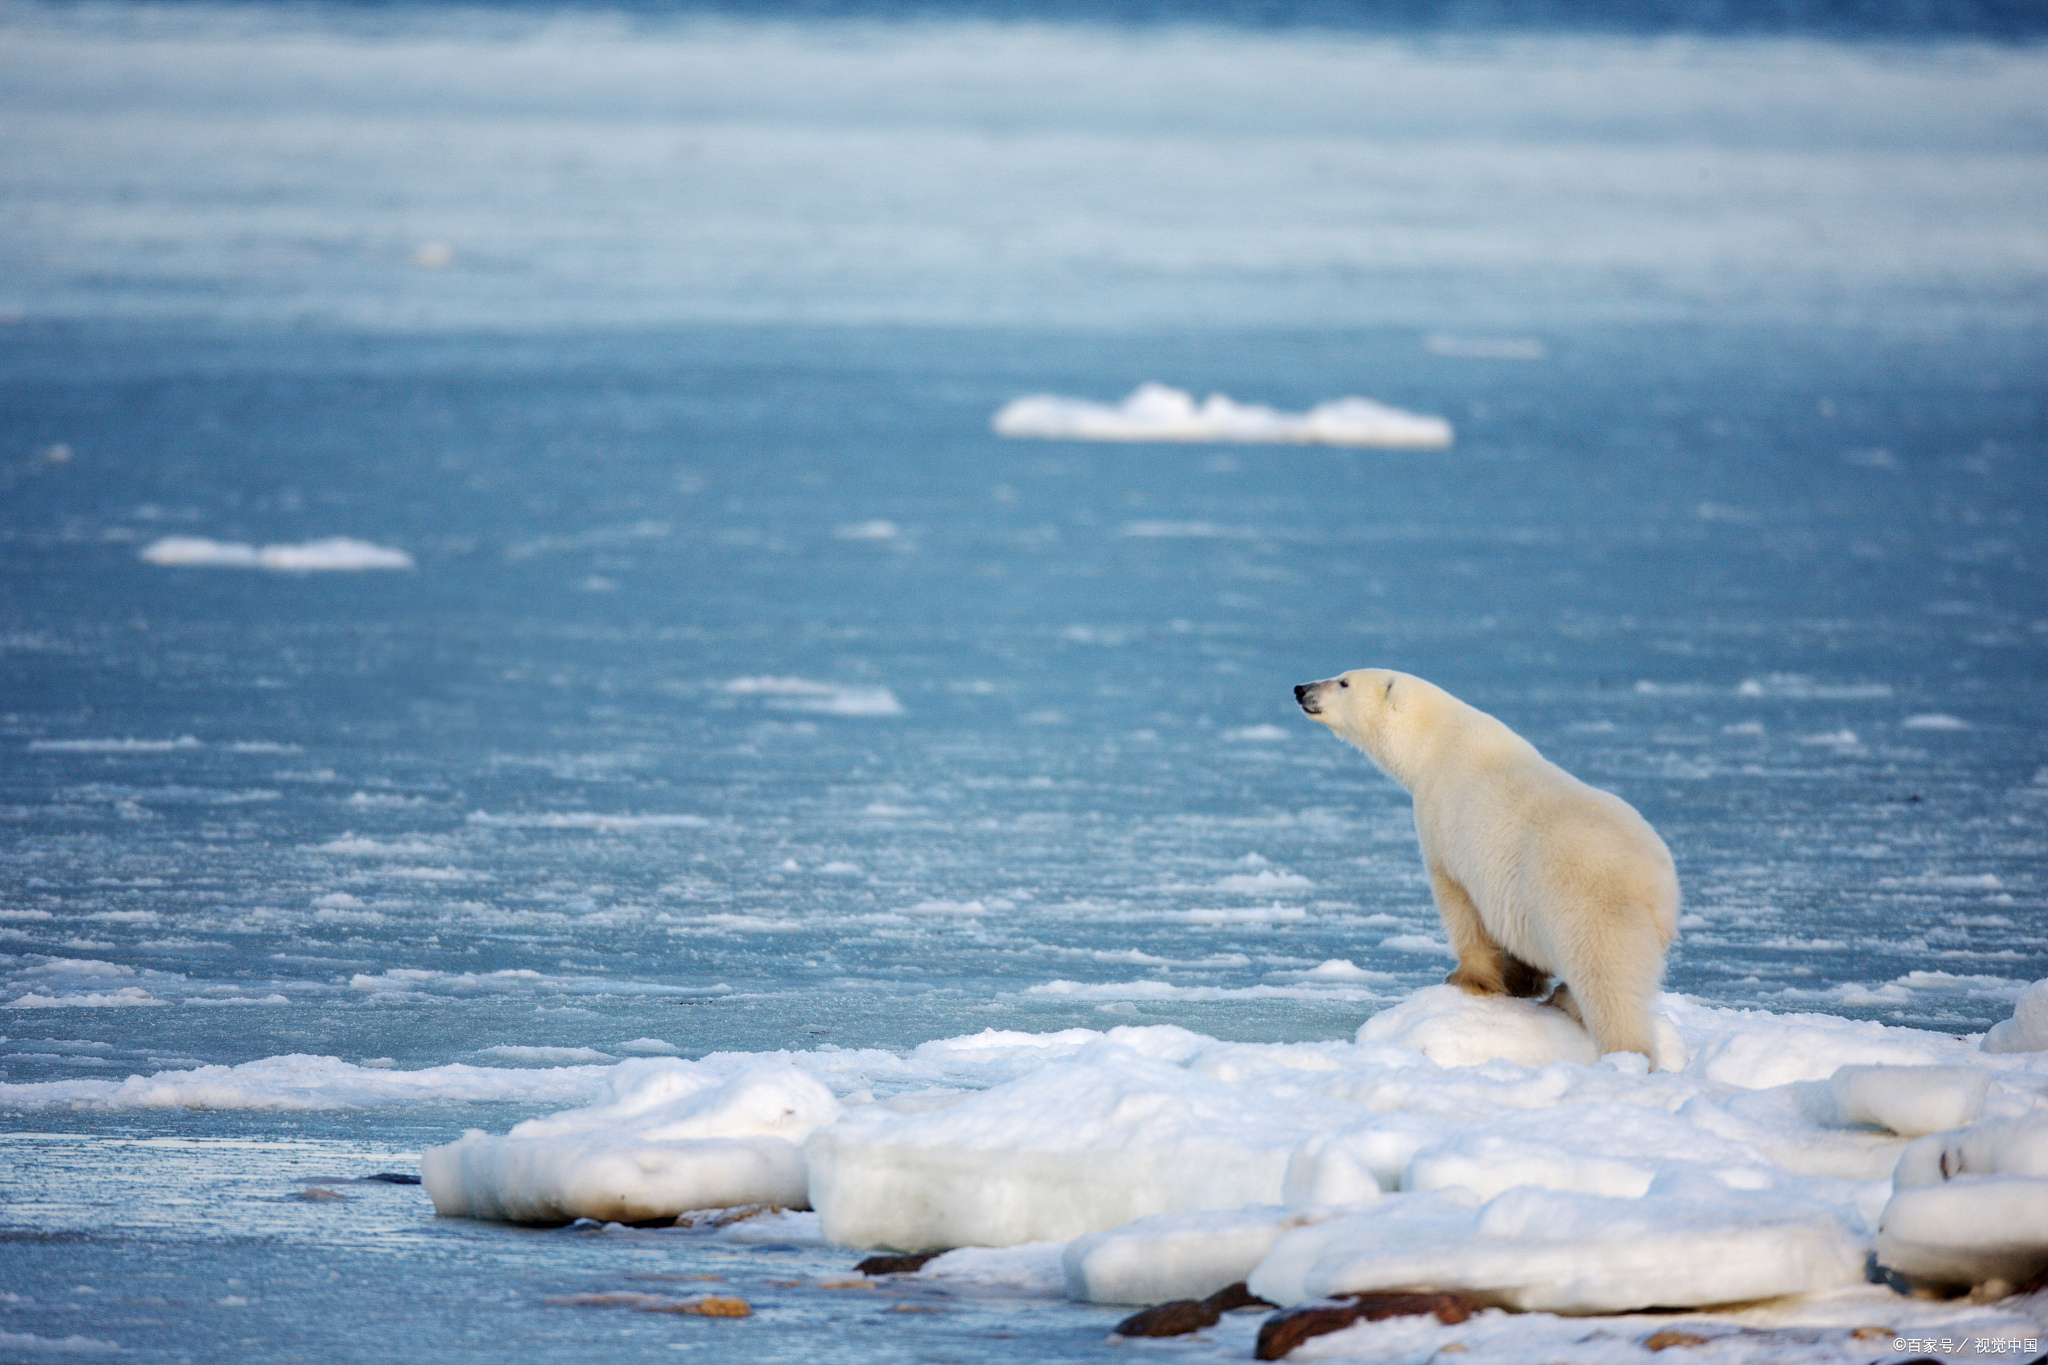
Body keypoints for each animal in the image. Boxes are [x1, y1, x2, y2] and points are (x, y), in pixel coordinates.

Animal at [1294, 671, 1679, 1064]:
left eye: (1343, 682)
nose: (1301, 689)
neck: (1436, 744)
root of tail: (1656, 887)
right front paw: (1522, 980)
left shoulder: (1445, 829)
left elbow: (1461, 907)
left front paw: (1466, 979)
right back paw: (1563, 999)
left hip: (1591, 907)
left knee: (1608, 984)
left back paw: (1624, 1054)